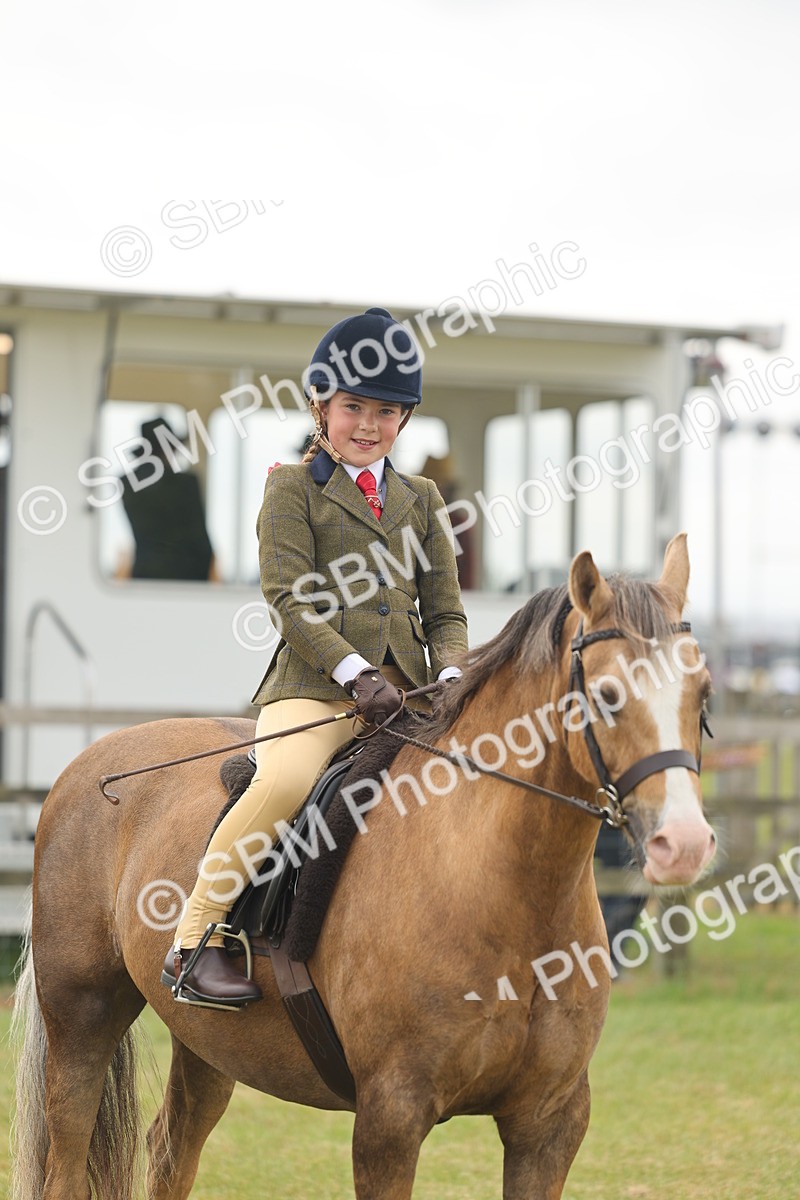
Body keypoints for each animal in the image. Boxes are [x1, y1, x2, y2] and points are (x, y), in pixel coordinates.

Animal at [11, 534, 716, 1200]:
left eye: (702, 692)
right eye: (607, 695)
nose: (683, 843)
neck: (509, 894)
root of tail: (90, 762)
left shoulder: (548, 1124)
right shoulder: (390, 1119)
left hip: (207, 1043)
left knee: (170, 1150)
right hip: (83, 1014)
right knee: (66, 1157)